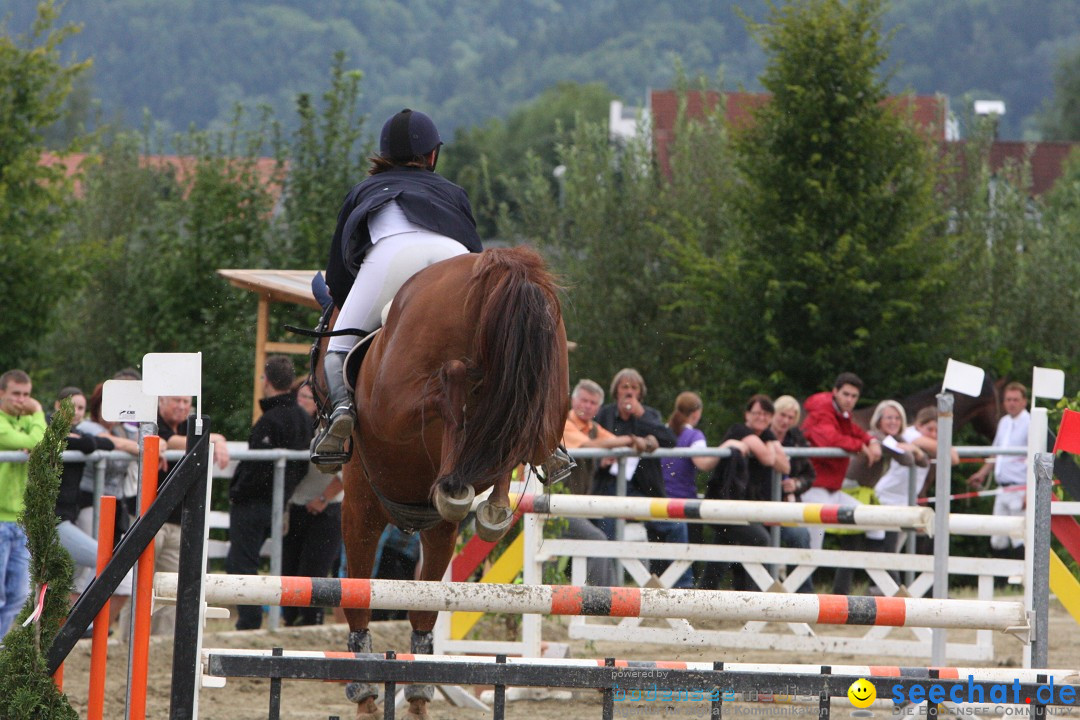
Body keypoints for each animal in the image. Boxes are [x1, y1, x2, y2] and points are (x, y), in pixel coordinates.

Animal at [319, 245, 570, 716]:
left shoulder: (359, 510)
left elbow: (359, 596)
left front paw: (365, 693)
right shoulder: (438, 529)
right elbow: (422, 609)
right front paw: (415, 694)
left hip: (399, 403)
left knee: (452, 387)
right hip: (549, 382)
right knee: (516, 427)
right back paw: (492, 507)